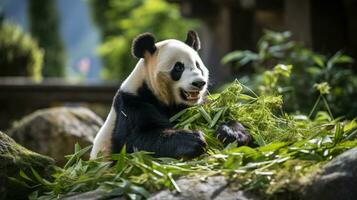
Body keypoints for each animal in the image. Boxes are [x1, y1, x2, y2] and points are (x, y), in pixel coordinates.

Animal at [89, 30, 252, 159]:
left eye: (197, 65)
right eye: (178, 67)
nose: (199, 83)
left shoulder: (199, 105)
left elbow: (223, 116)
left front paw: (231, 133)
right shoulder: (132, 105)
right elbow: (133, 142)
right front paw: (193, 140)